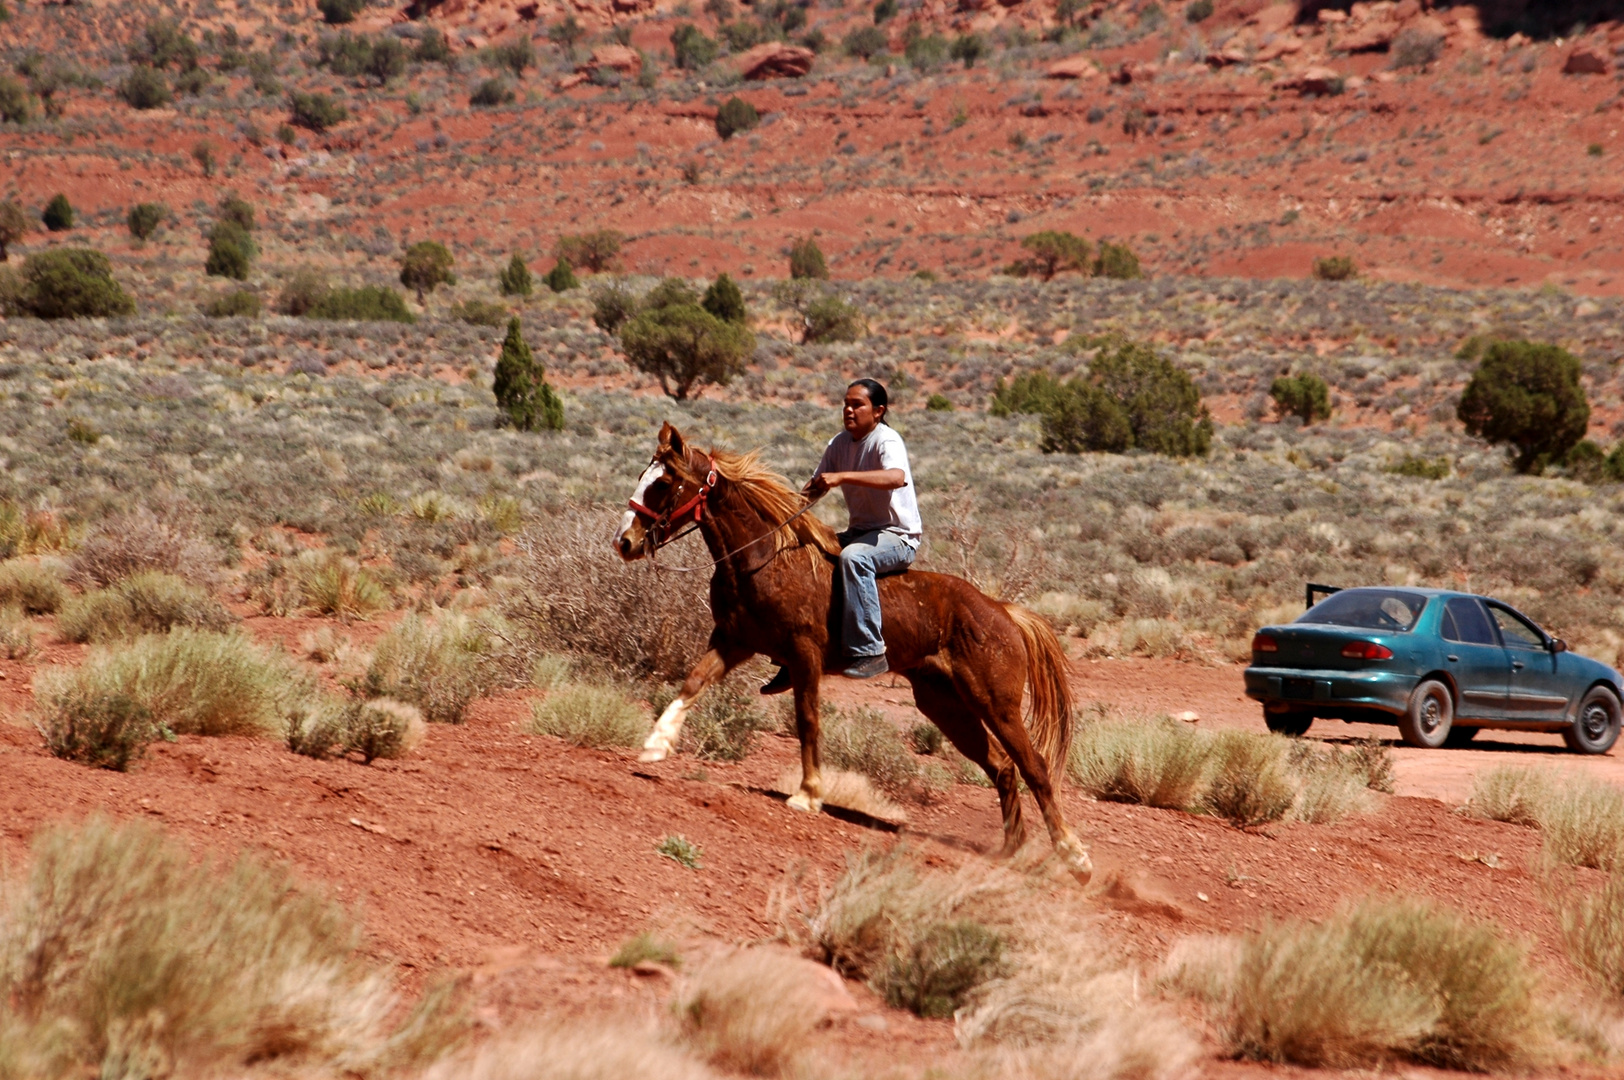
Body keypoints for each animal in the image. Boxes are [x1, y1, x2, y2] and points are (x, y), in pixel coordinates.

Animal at [613, 422, 1097, 883]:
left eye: (664, 482)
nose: (624, 542)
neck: (764, 558)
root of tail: (1002, 611)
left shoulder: (803, 655)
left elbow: (808, 721)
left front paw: (808, 793)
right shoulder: (735, 641)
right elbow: (693, 681)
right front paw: (656, 744)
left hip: (996, 703)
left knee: (1035, 768)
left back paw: (1074, 856)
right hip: (945, 704)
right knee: (1002, 767)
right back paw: (1012, 848)